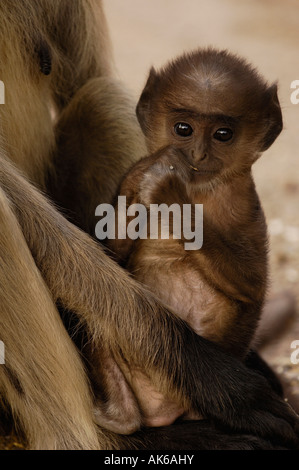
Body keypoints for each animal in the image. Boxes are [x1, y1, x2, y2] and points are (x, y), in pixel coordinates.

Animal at [107, 49, 284, 428]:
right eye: (183, 129)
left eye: (223, 134)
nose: (199, 154)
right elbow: (112, 257)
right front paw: (143, 176)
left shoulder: (243, 200)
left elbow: (253, 285)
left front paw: (170, 190)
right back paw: (120, 414)